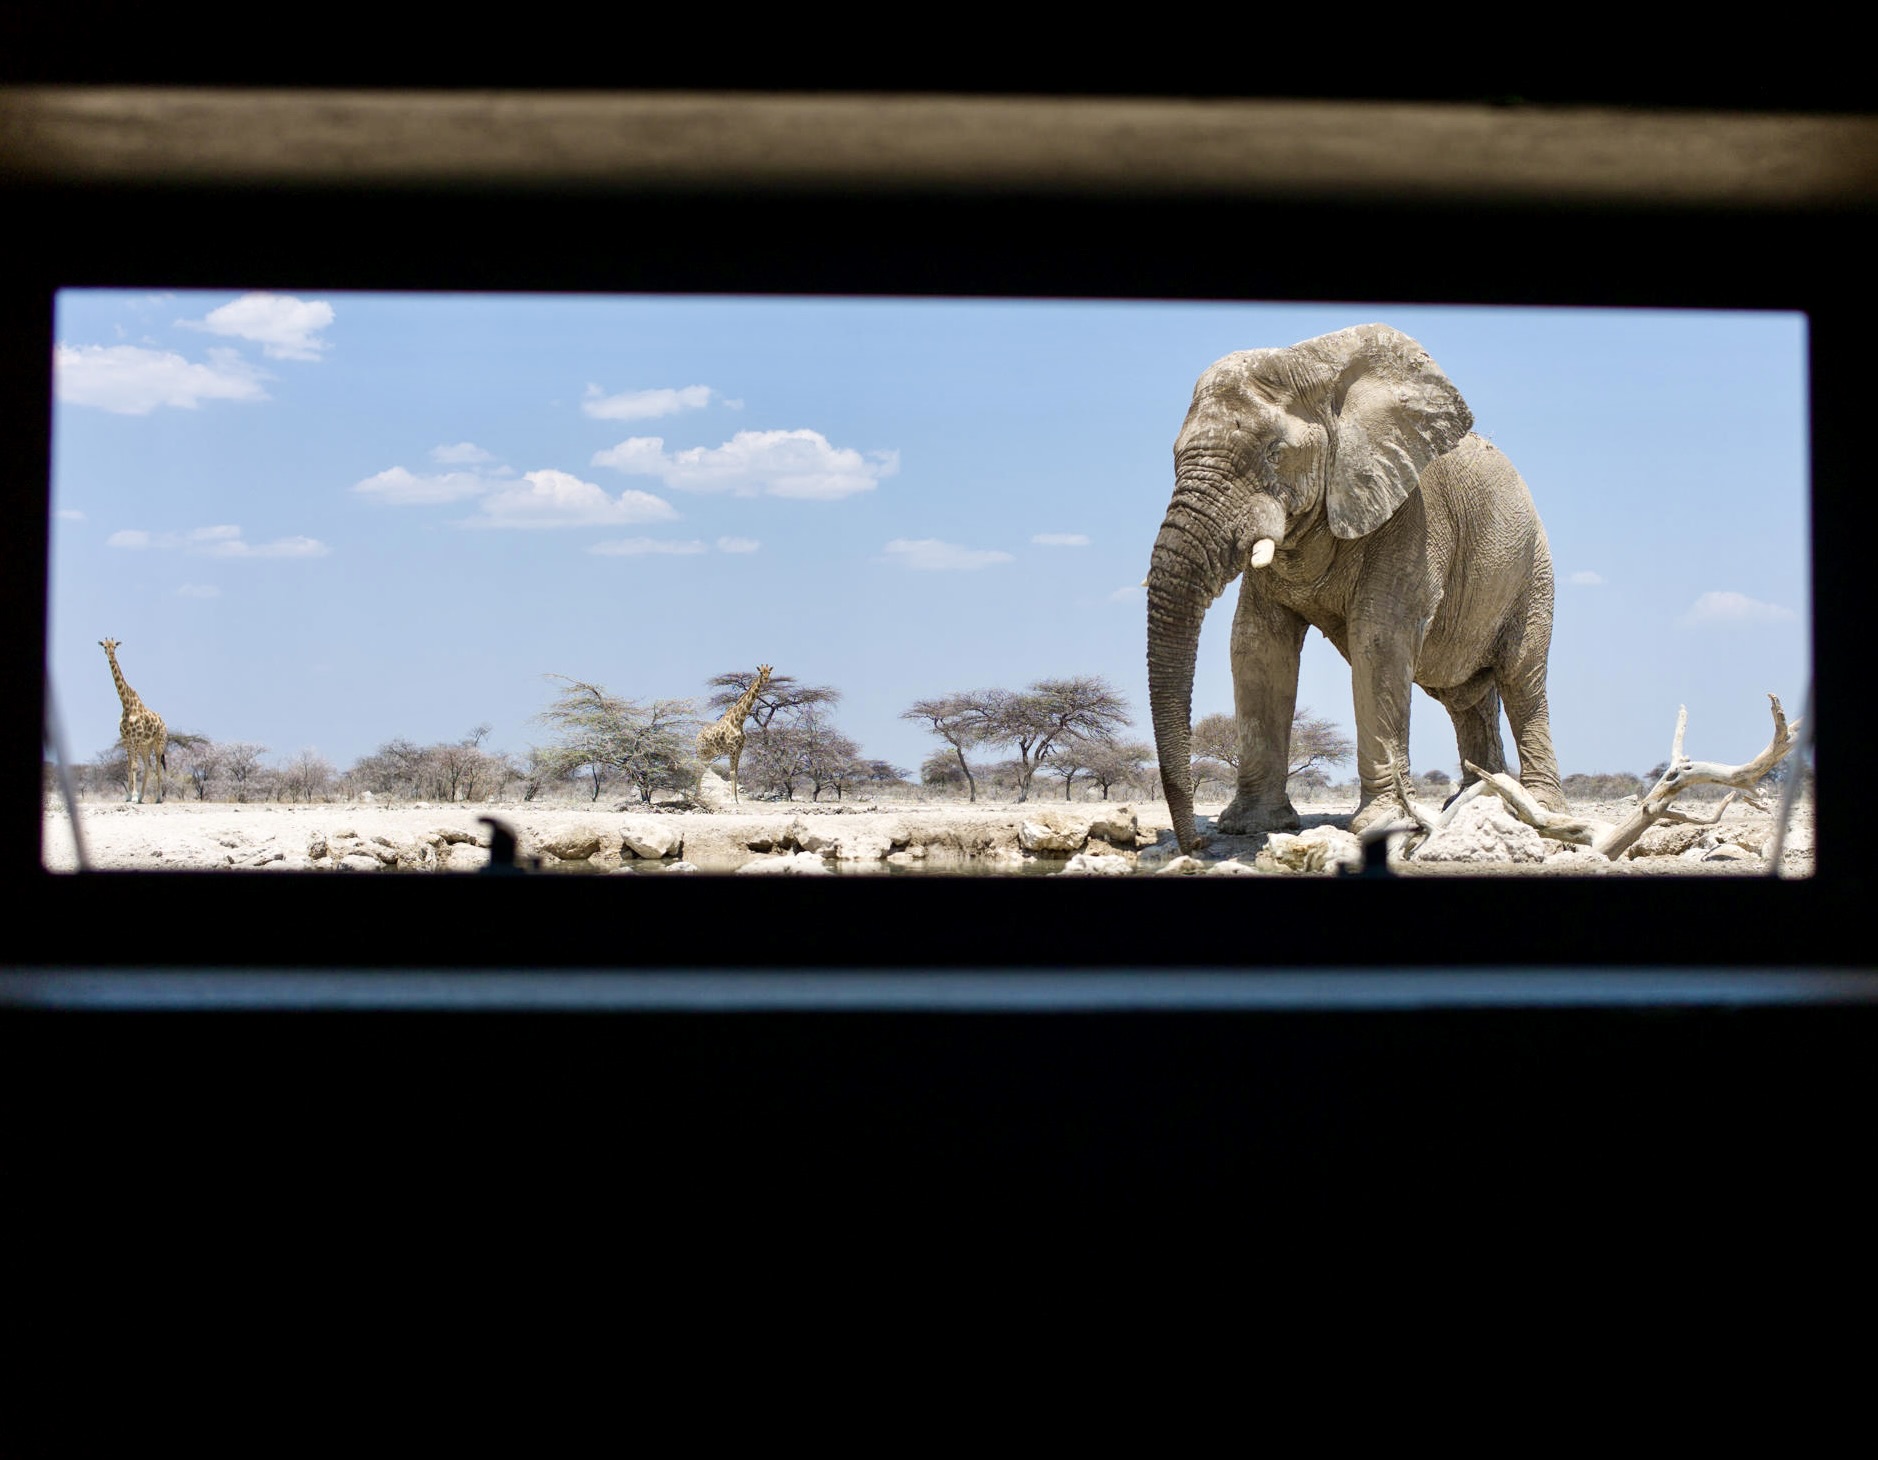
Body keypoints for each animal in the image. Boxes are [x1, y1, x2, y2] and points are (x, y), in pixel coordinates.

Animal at [99, 635, 167, 804]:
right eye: (104, 646)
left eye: (114, 647)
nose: (110, 655)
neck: (126, 704)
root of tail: (164, 723)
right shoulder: (126, 739)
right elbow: (129, 765)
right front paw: (129, 796)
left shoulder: (135, 737)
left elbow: (135, 766)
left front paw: (134, 796)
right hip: (145, 745)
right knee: (148, 766)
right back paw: (142, 797)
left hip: (159, 743)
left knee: (157, 766)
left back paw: (158, 798)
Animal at [694, 665, 773, 804]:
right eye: (760, 672)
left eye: (769, 672)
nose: (766, 679)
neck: (739, 720)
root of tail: (696, 738)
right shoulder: (732, 748)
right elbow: (731, 773)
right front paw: (732, 799)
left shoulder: (740, 748)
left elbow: (736, 773)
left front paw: (736, 799)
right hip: (701, 753)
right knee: (699, 770)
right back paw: (697, 796)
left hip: (709, 755)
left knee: (702, 771)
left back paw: (699, 795)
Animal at [1141, 315, 1570, 853]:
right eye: (1175, 455)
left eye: (1275, 453)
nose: (1195, 845)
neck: (1313, 364)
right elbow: (1257, 646)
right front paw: (1251, 826)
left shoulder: (1413, 516)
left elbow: (1379, 639)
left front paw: (1384, 823)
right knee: (1465, 698)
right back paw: (1475, 802)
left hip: (1534, 572)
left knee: (1521, 680)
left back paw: (1541, 810)